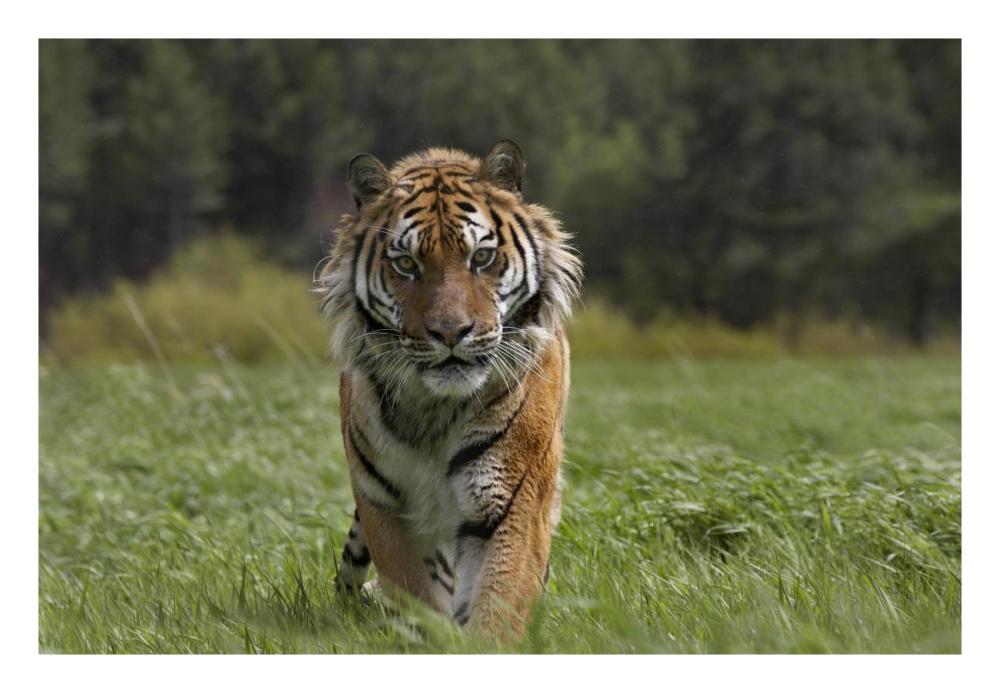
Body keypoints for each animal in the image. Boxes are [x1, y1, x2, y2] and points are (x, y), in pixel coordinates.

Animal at [314, 140, 582, 639]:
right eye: (406, 264)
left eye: (481, 258)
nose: (451, 332)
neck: (436, 409)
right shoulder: (387, 505)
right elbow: (417, 597)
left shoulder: (510, 500)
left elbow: (498, 601)